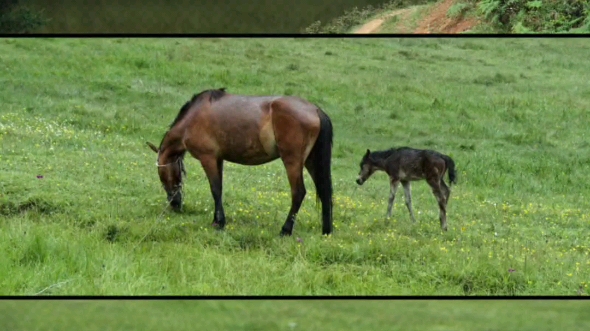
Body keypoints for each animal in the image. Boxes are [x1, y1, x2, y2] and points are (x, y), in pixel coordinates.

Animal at [146, 88, 336, 237]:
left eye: (161, 178)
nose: (175, 204)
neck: (192, 118)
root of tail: (315, 110)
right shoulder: (218, 159)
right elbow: (219, 189)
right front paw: (218, 220)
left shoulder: (208, 158)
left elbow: (215, 189)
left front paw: (219, 222)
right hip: (311, 160)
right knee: (324, 191)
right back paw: (326, 231)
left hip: (293, 161)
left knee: (298, 192)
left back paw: (285, 230)